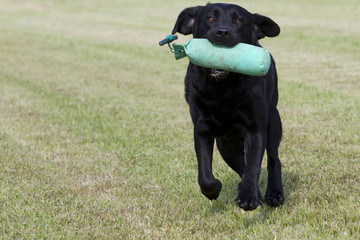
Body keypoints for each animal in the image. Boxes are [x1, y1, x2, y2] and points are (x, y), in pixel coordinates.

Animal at [172, 3, 284, 210]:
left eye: (239, 20)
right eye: (210, 18)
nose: (223, 32)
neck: (222, 89)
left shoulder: (256, 130)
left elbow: (254, 165)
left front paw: (248, 196)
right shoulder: (202, 129)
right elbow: (205, 173)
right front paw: (213, 189)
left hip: (273, 122)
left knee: (273, 160)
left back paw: (274, 193)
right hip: (226, 145)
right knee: (241, 164)